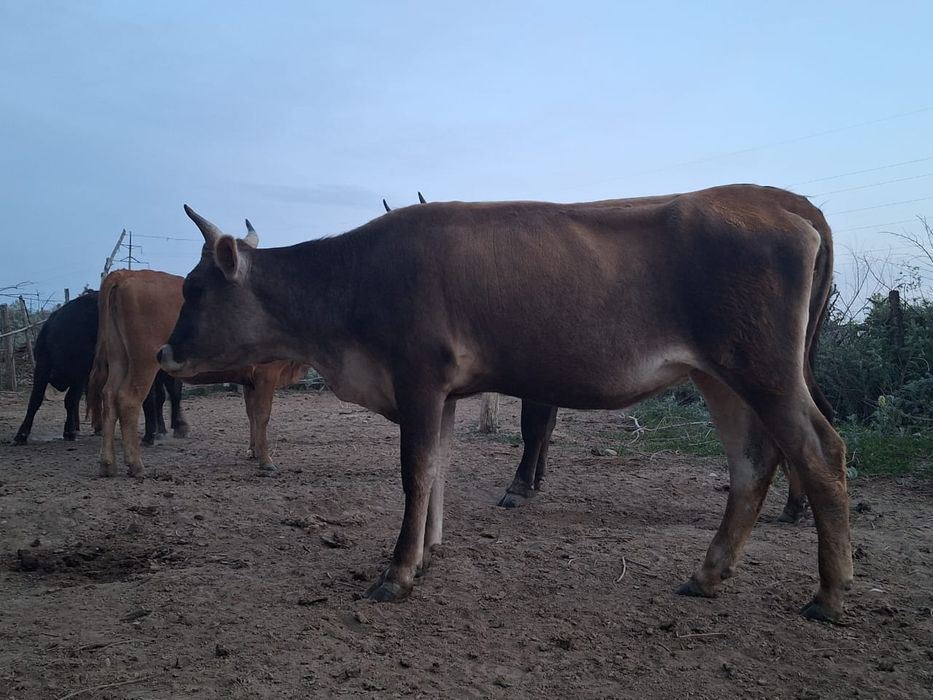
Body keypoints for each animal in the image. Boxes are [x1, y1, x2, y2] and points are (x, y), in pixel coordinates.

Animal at [92, 266, 307, 478]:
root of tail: (127, 274)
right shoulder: (266, 374)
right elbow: (262, 415)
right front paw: (266, 460)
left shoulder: (250, 381)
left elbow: (251, 414)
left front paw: (253, 451)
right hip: (144, 362)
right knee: (128, 400)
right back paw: (136, 465)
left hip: (119, 358)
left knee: (109, 396)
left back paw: (107, 464)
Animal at [159, 185, 852, 621]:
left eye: (194, 288)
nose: (165, 351)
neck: (352, 285)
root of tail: (788, 210)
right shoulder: (442, 393)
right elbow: (437, 468)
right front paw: (428, 554)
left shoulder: (418, 377)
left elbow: (415, 473)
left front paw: (397, 573)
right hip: (720, 376)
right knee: (752, 462)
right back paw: (707, 575)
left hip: (764, 369)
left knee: (822, 451)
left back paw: (830, 596)